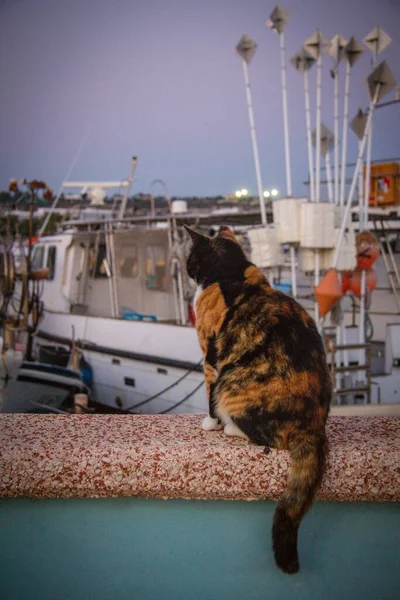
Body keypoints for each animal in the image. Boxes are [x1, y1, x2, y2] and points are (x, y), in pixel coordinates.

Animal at [184, 226, 332, 576]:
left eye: (191, 258)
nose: (185, 270)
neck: (233, 272)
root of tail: (314, 427)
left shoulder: (210, 357)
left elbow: (207, 396)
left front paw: (210, 424)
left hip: (231, 385)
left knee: (261, 435)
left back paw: (230, 428)